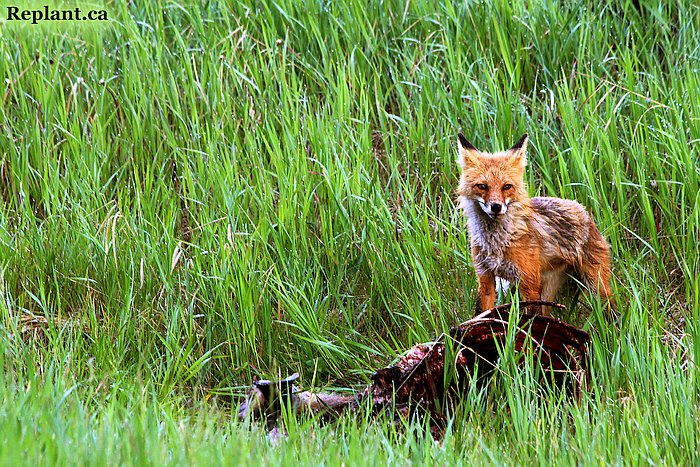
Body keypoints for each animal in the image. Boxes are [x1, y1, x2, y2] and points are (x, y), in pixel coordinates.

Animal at [454, 133, 612, 316]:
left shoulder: (529, 284)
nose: (496, 207)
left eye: (506, 186)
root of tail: (583, 210)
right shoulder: (485, 277)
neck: (497, 243)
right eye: (482, 186)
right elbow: (481, 314)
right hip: (548, 290)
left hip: (597, 287)